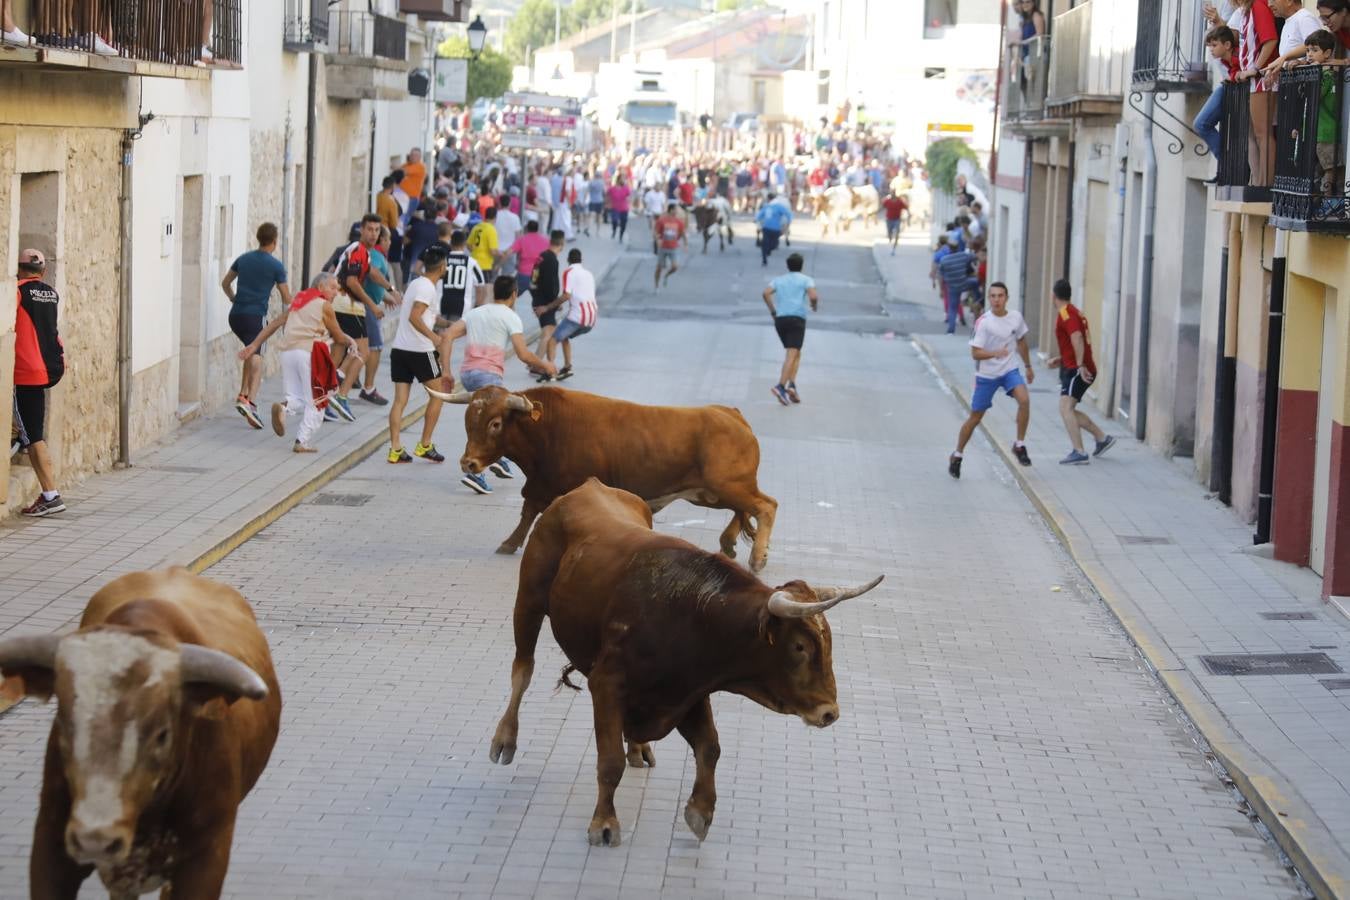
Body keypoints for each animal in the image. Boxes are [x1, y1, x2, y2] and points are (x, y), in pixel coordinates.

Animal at [426, 385, 777, 569]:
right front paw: (510, 542)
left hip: (728, 484)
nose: (469, 463)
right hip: (712, 491)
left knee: (765, 506)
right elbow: (527, 513)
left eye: (495, 423)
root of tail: (730, 413)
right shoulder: (540, 484)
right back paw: (729, 544)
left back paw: (757, 557)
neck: (547, 428)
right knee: (743, 509)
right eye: (469, 420)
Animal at [488, 477, 885, 847]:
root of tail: (587, 487)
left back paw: (639, 748)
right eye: (800, 646)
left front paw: (701, 811)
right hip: (528, 601)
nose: (829, 712)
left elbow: (710, 746)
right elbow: (609, 761)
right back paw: (504, 739)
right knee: (522, 669)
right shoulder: (606, 684)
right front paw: (604, 823)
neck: (692, 613)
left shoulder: (689, 692)